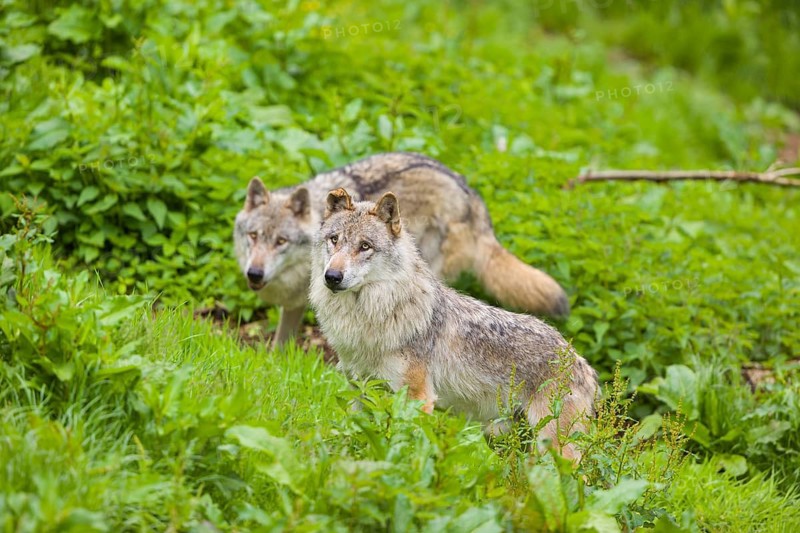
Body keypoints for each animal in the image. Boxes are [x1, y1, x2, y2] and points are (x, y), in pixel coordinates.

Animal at [234, 152, 569, 346]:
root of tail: (472, 197)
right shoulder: (294, 304)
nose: (254, 273)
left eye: (281, 241)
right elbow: (281, 343)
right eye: (253, 236)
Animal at [308, 188, 598, 459]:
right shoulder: (359, 391)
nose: (332, 276)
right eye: (334, 240)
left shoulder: (417, 399)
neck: (370, 319)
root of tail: (579, 360)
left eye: (365, 246)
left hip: (554, 447)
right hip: (505, 442)